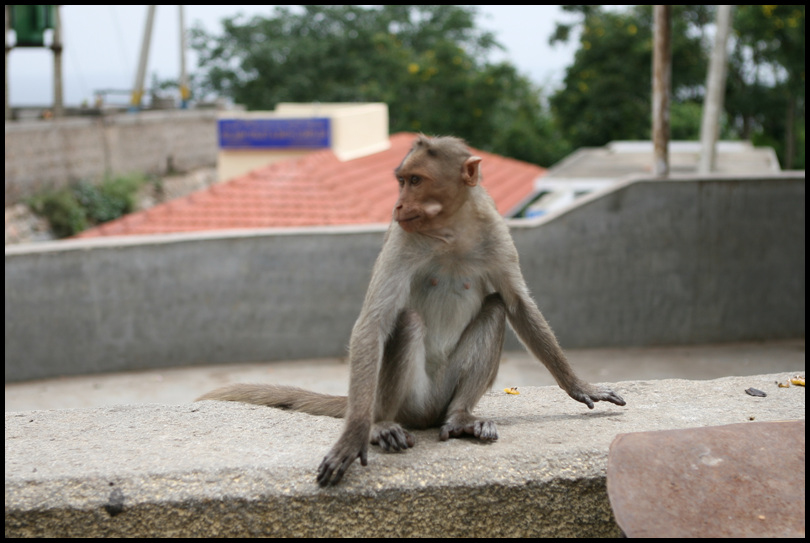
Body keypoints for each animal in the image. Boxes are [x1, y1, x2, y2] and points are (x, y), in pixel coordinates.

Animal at [197, 134, 624, 486]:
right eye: (402, 180)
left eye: (416, 180)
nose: (398, 203)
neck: (451, 231)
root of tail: (427, 412)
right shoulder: (401, 237)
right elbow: (374, 322)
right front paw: (354, 435)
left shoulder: (496, 232)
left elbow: (517, 304)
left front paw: (579, 386)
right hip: (410, 401)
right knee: (407, 322)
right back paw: (380, 425)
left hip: (445, 392)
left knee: (494, 309)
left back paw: (461, 417)